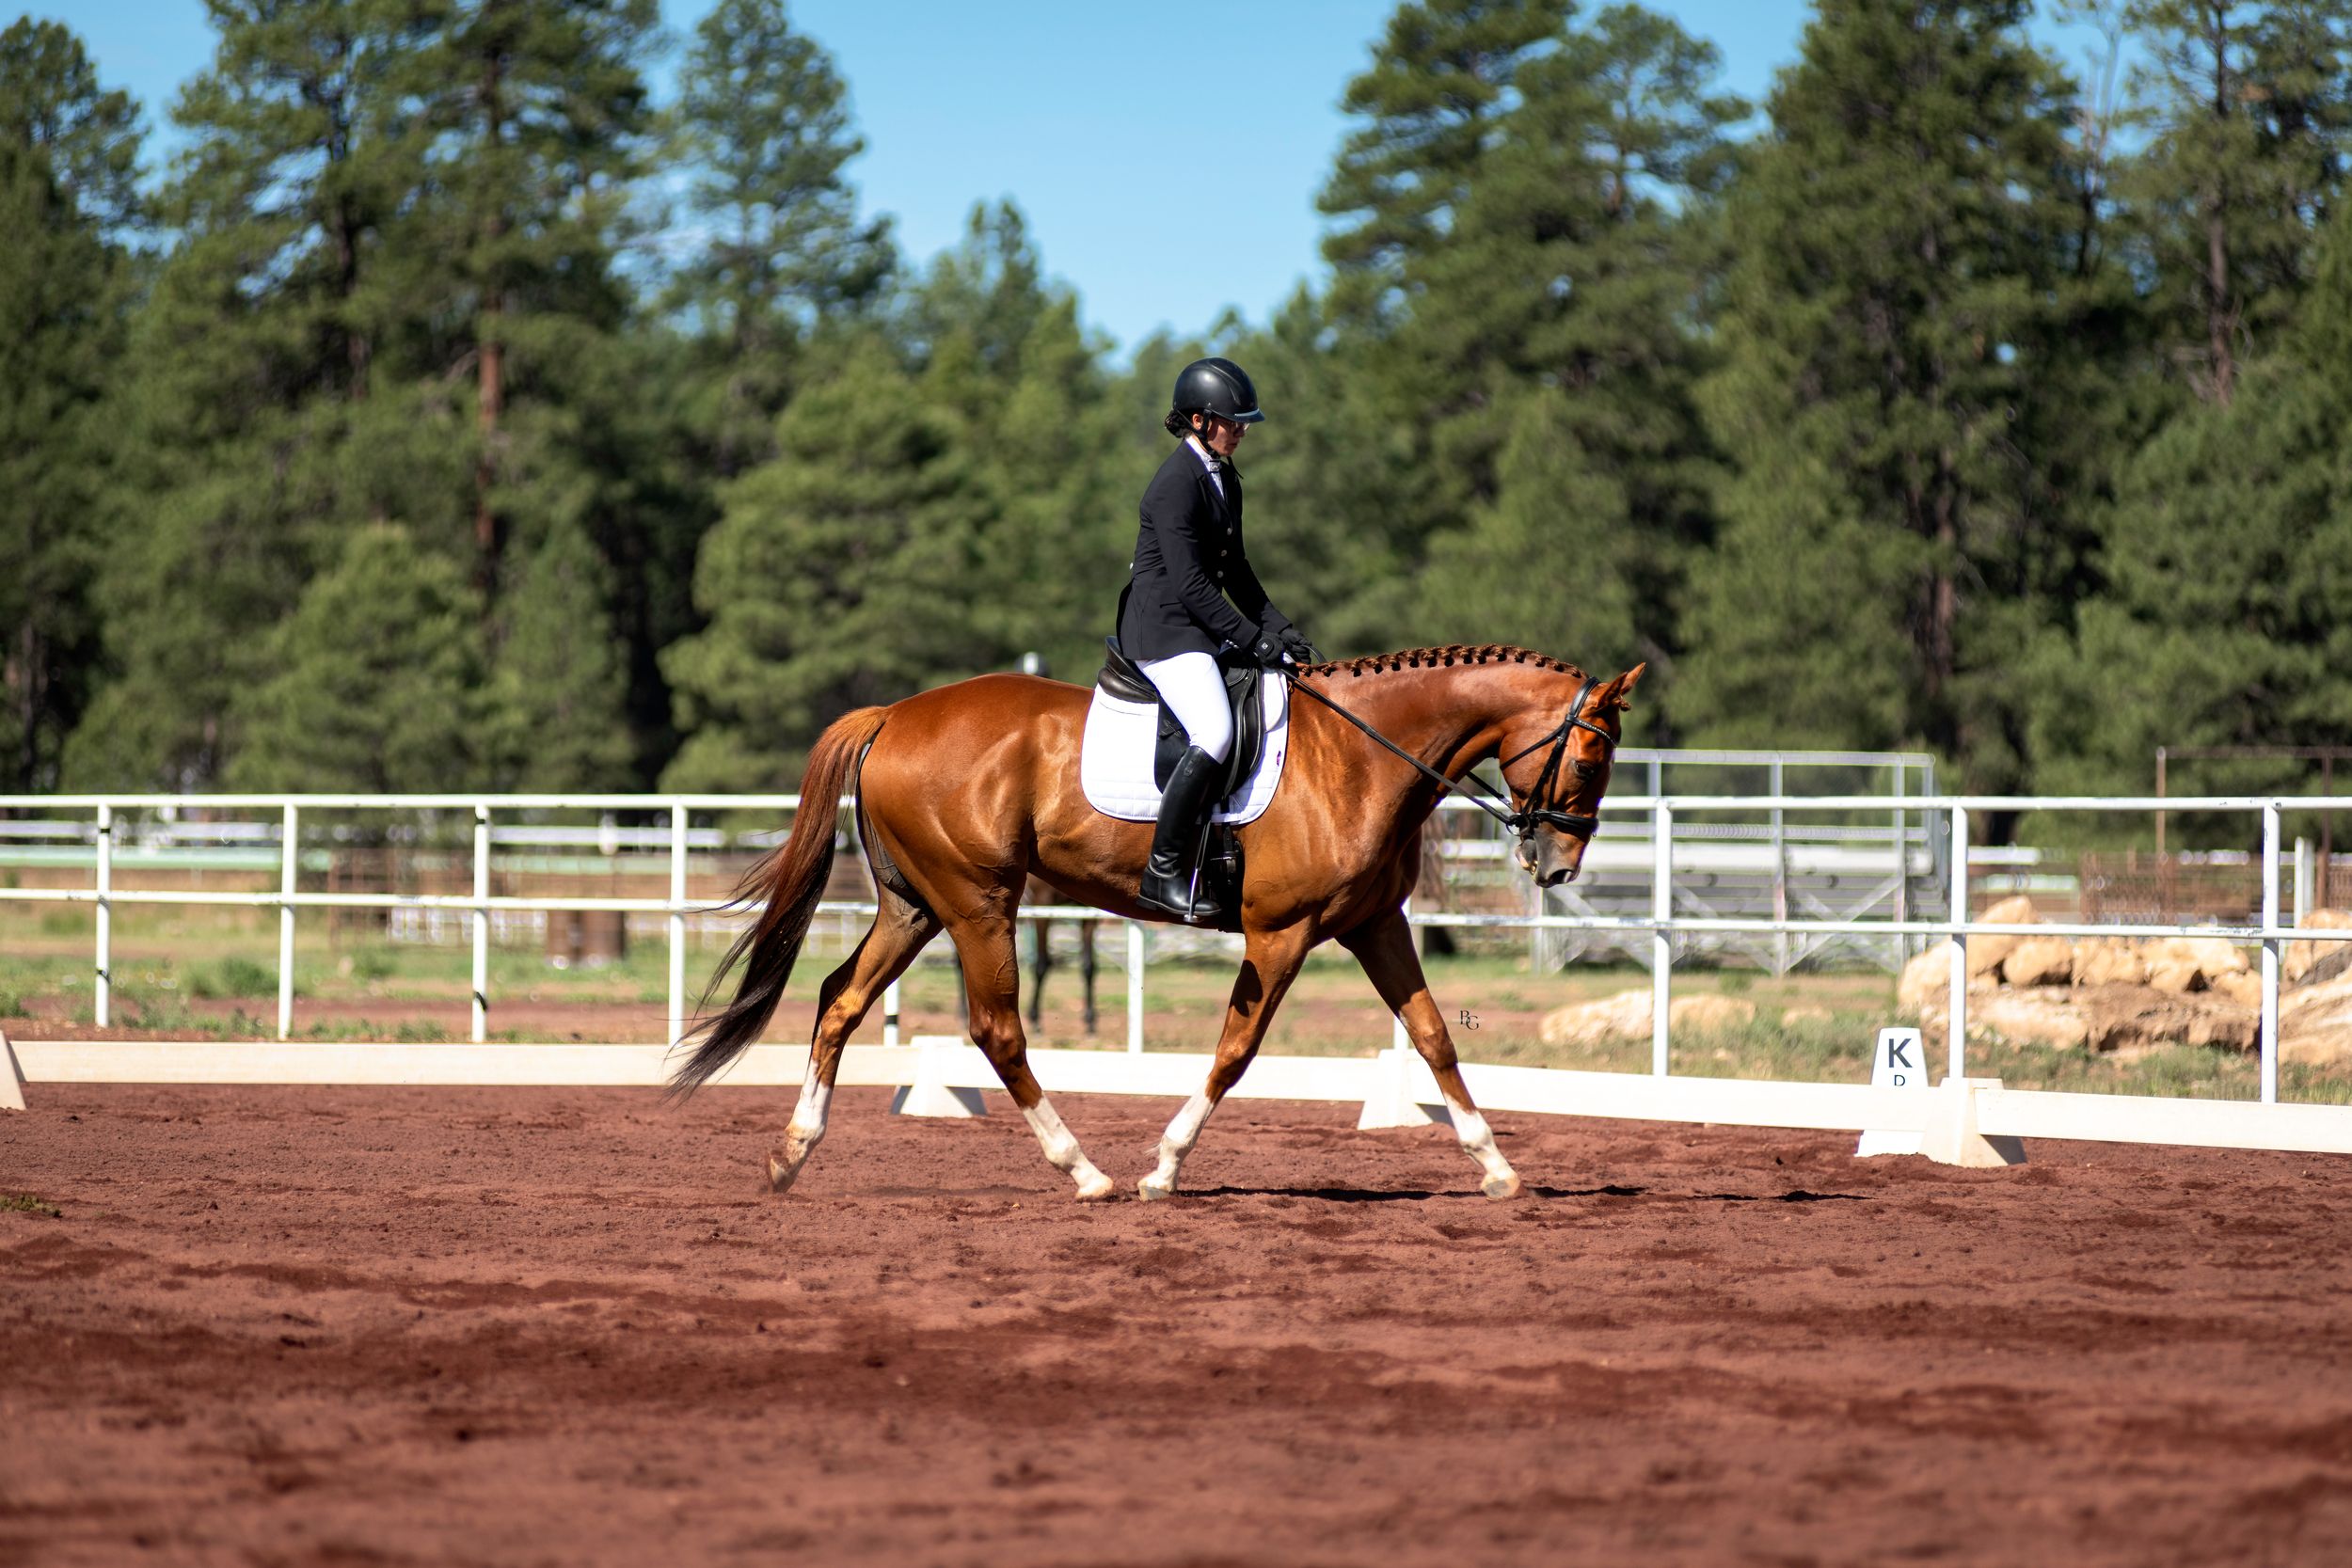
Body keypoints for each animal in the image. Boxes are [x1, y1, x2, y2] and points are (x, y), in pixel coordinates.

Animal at [667, 644, 1645, 1202]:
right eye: (1589, 758)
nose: (1558, 866)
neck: (1361, 754)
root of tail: (894, 713)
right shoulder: (1281, 932)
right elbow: (1236, 1050)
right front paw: (1165, 1167)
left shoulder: (1375, 925)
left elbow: (1435, 1037)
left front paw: (1496, 1166)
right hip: (980, 901)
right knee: (996, 1028)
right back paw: (1086, 1172)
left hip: (915, 904)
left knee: (840, 999)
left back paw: (793, 1154)